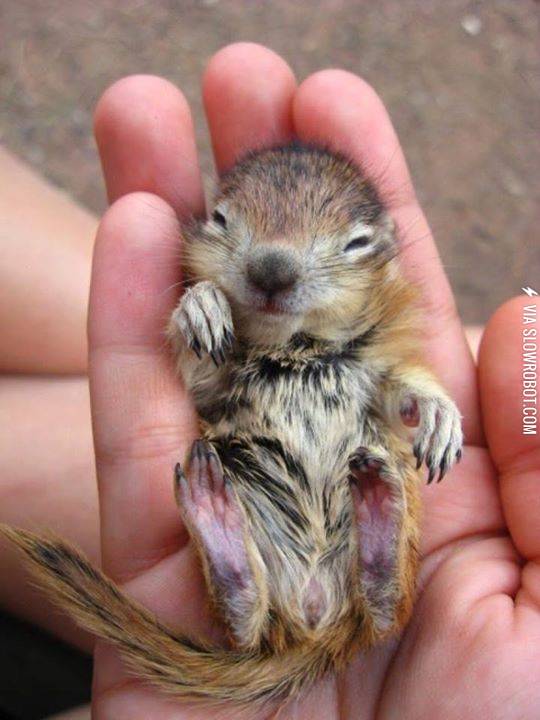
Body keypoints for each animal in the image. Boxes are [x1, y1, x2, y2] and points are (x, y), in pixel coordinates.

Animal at [2, 143, 463, 707]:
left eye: (357, 242)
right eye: (221, 219)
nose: (271, 270)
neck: (294, 346)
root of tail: (314, 621)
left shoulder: (376, 366)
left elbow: (402, 389)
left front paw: (439, 418)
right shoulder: (214, 384)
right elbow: (198, 362)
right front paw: (202, 306)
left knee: (384, 611)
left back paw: (378, 504)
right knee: (248, 620)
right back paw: (215, 516)